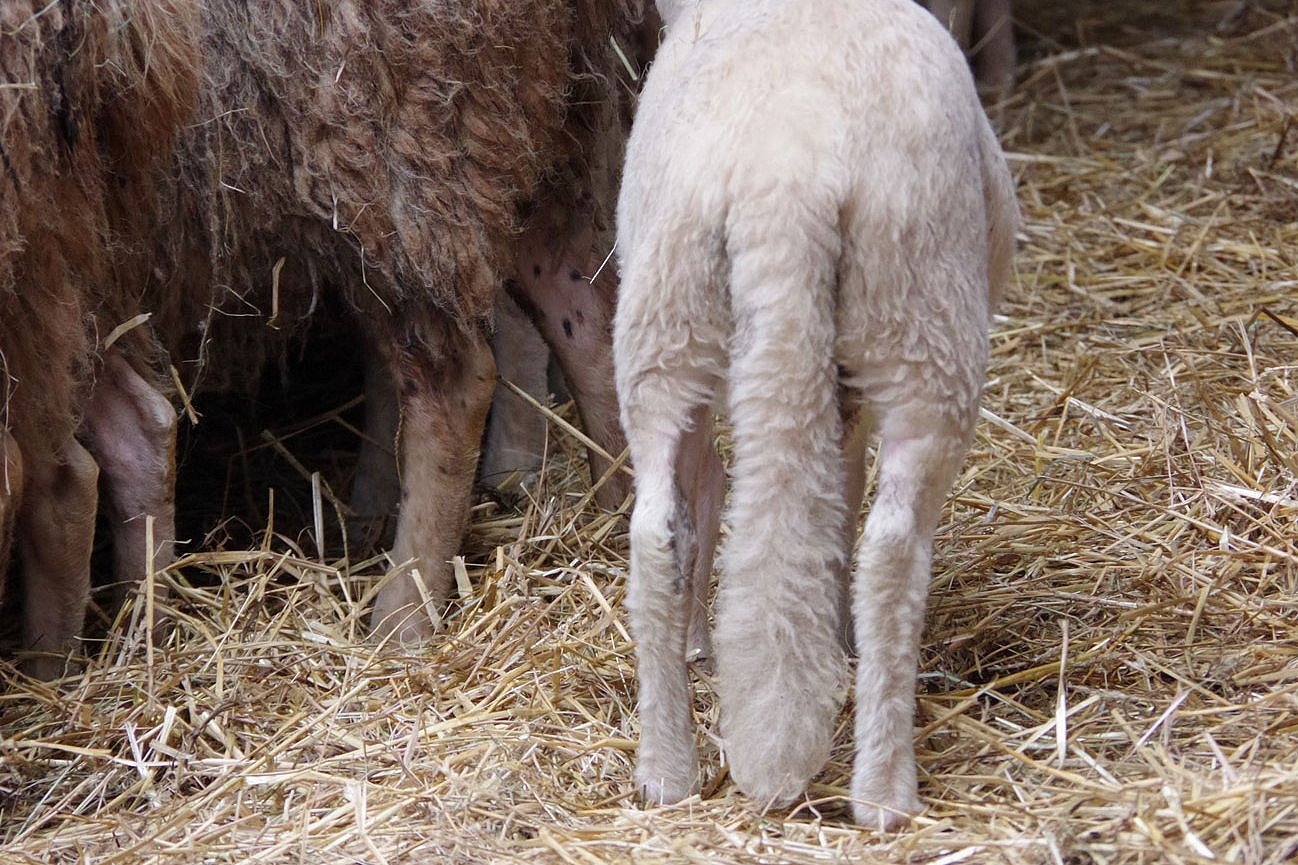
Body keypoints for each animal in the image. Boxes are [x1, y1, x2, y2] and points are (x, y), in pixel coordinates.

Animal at [148, 0, 649, 644]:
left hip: (393, 145)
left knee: (456, 386)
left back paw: (402, 616)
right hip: (537, 121)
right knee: (581, 312)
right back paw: (616, 512)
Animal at [612, 0, 1017, 826]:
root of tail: (786, 173)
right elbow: (846, 480)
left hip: (665, 317)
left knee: (657, 528)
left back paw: (666, 771)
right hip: (922, 314)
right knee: (892, 548)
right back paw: (885, 791)